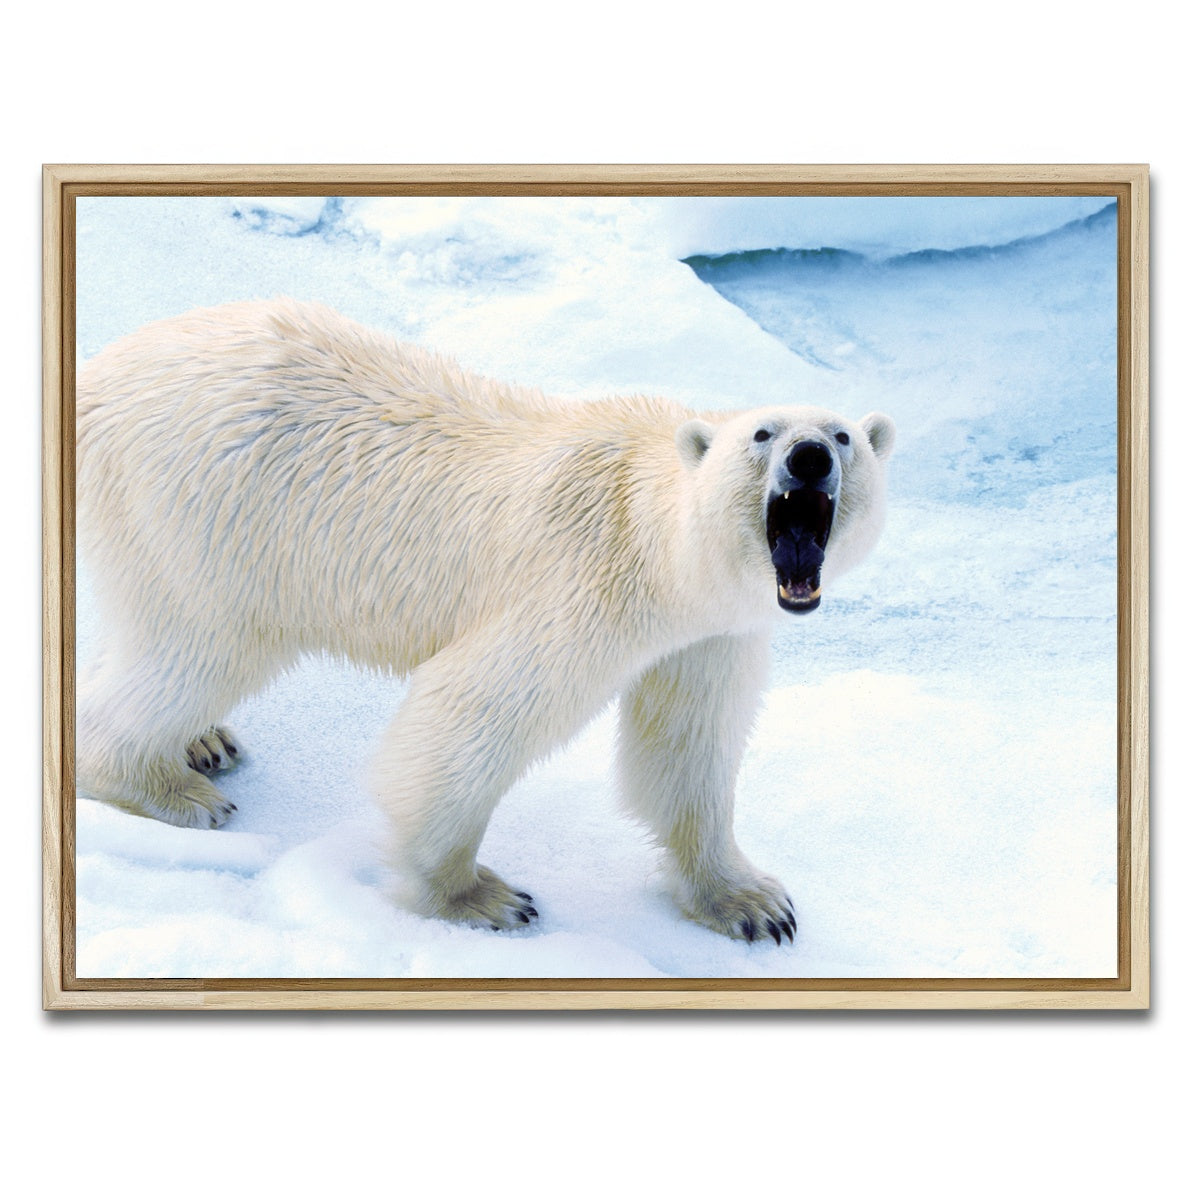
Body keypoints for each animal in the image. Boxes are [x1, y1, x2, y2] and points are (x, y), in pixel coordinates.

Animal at [76, 298, 896, 943]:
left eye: (843, 435)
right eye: (761, 434)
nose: (809, 457)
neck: (657, 540)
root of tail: (98, 373)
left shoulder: (710, 634)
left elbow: (687, 747)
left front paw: (752, 903)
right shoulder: (581, 586)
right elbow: (468, 715)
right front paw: (481, 897)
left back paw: (204, 741)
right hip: (208, 510)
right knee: (200, 646)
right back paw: (169, 786)